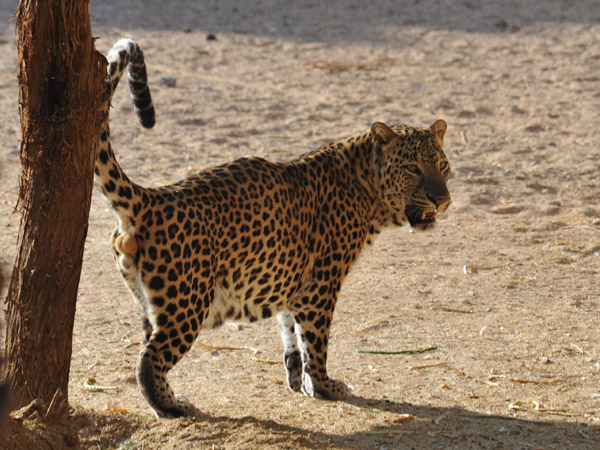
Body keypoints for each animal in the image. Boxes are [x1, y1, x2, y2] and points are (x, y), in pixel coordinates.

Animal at [96, 38, 450, 418]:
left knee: (147, 345)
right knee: (150, 359)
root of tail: (152, 197)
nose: (443, 200)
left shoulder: (292, 281)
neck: (367, 187)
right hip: (187, 302)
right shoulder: (321, 284)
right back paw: (172, 407)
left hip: (150, 302)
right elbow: (316, 340)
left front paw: (298, 379)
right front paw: (324, 386)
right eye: (413, 168)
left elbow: (290, 332)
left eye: (443, 165)